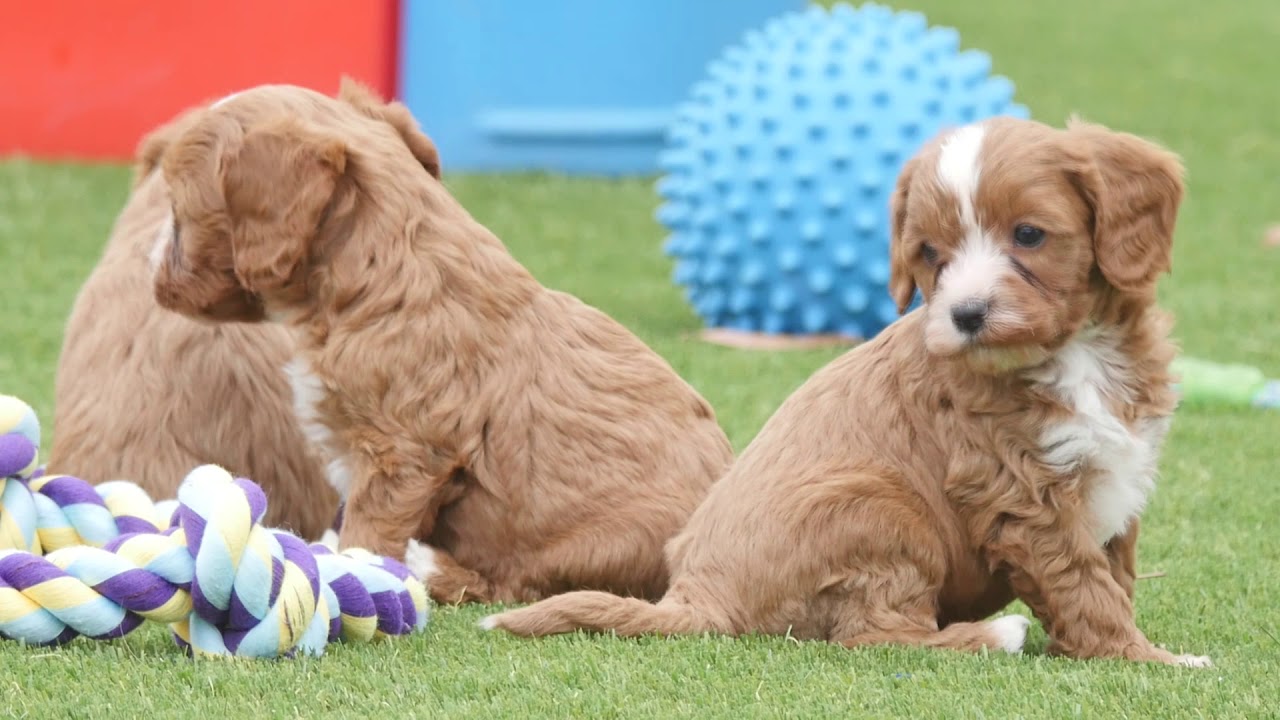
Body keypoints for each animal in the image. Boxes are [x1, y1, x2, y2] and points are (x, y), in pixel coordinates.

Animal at [146, 79, 737, 604]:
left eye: (178, 209)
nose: (149, 269)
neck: (385, 268)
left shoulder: (404, 451)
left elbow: (369, 530)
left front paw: (350, 574)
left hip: (593, 547)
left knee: (514, 584)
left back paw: (428, 566)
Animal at [483, 114, 1213, 666]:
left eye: (1029, 235)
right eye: (931, 255)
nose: (966, 315)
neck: (1076, 353)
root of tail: (695, 595)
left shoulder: (1115, 475)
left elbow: (1114, 575)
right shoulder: (1019, 493)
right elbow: (1084, 586)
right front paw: (1148, 660)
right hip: (882, 511)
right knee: (874, 633)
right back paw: (992, 634)